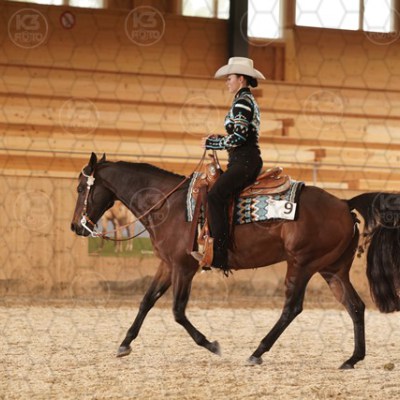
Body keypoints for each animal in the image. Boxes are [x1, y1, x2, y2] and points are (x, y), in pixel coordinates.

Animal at [71, 153, 400, 369]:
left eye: (81, 188)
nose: (76, 226)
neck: (168, 204)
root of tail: (344, 204)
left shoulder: (184, 267)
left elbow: (177, 311)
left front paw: (211, 345)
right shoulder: (167, 265)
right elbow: (146, 301)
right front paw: (125, 343)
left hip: (302, 264)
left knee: (292, 308)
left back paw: (258, 352)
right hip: (332, 270)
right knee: (355, 307)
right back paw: (352, 359)